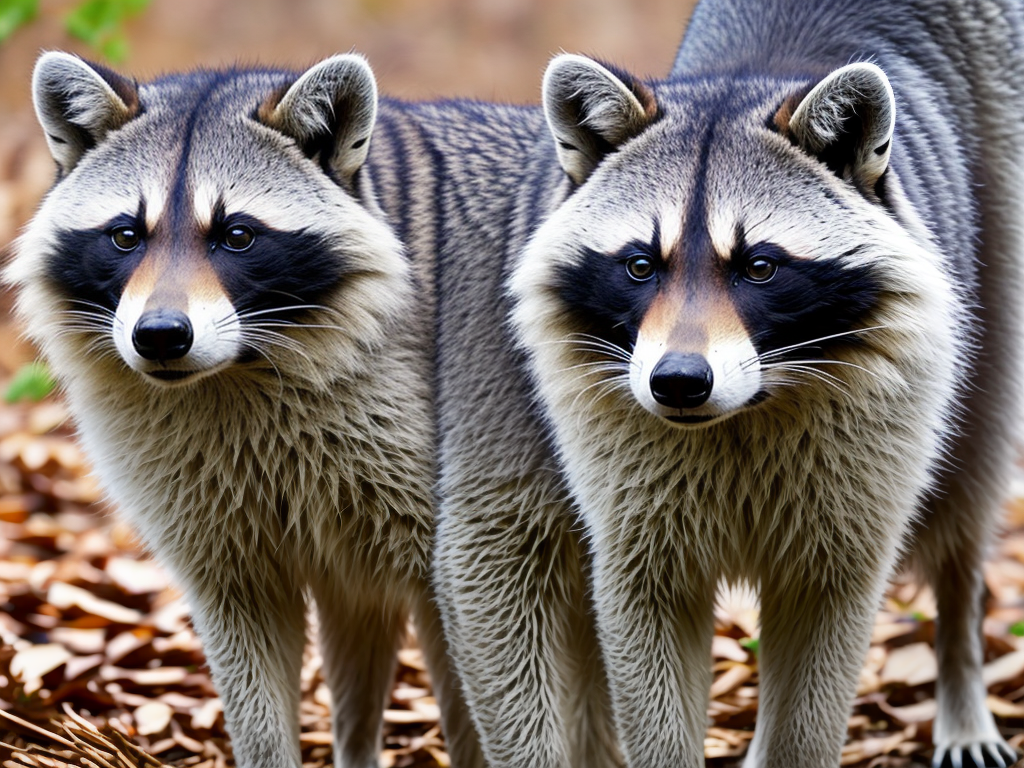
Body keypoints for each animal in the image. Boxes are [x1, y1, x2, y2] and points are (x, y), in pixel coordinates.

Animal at [7, 52, 481, 768]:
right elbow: (250, 653)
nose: (160, 336)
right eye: (125, 236)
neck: (239, 368)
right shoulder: (217, 525)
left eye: (236, 236)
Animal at [500, 0, 1024, 766]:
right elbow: (646, 622)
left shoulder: (860, 482)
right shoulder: (625, 486)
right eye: (639, 266)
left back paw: (961, 676)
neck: (745, 407)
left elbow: (822, 649)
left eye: (760, 267)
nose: (678, 382)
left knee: (968, 503)